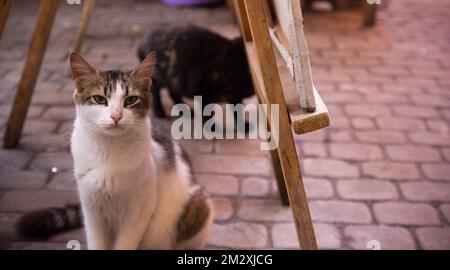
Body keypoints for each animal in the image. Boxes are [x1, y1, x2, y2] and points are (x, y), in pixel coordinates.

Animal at [16, 51, 214, 250]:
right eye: (99, 99)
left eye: (131, 100)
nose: (116, 116)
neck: (108, 149)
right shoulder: (91, 211)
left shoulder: (138, 213)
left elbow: (125, 244)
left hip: (198, 207)